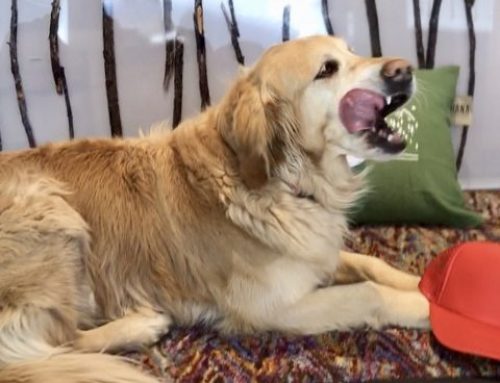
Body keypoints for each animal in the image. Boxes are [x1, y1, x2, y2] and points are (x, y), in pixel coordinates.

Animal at [0, 35, 430, 380]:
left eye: (352, 50)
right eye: (327, 69)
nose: (404, 69)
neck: (287, 182)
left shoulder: (311, 255)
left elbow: (371, 264)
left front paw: (421, 282)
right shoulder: (273, 307)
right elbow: (368, 293)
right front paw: (424, 306)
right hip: (52, 213)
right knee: (59, 341)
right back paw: (141, 326)